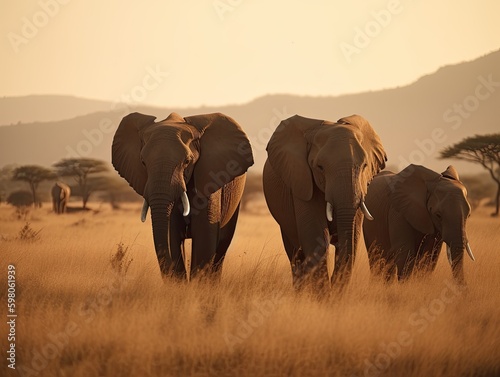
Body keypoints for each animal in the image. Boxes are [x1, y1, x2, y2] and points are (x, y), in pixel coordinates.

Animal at [264, 113, 388, 290]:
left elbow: (353, 239)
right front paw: (324, 295)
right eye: (320, 167)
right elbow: (317, 239)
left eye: (365, 166)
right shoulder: (302, 182)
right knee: (295, 254)